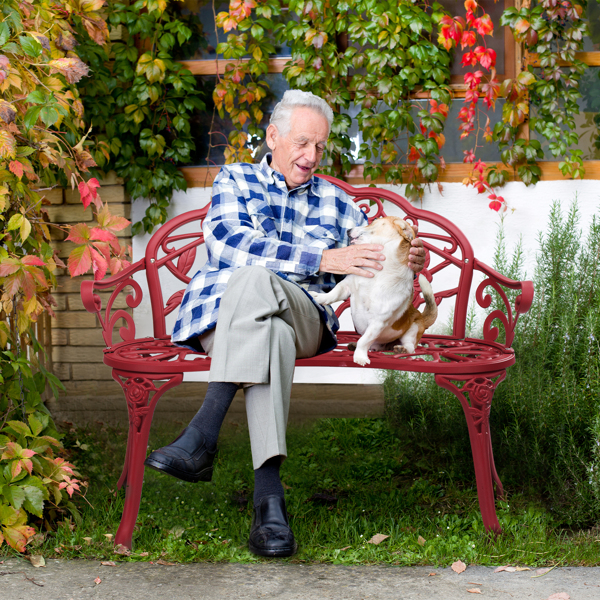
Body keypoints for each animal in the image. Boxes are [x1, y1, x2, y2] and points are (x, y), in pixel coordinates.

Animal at [314, 216, 436, 366]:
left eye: (373, 222)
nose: (348, 230)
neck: (378, 271)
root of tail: (423, 318)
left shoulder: (377, 323)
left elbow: (364, 340)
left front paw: (360, 357)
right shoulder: (347, 285)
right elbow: (332, 294)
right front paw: (318, 298)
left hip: (413, 329)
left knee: (410, 346)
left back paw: (401, 349)